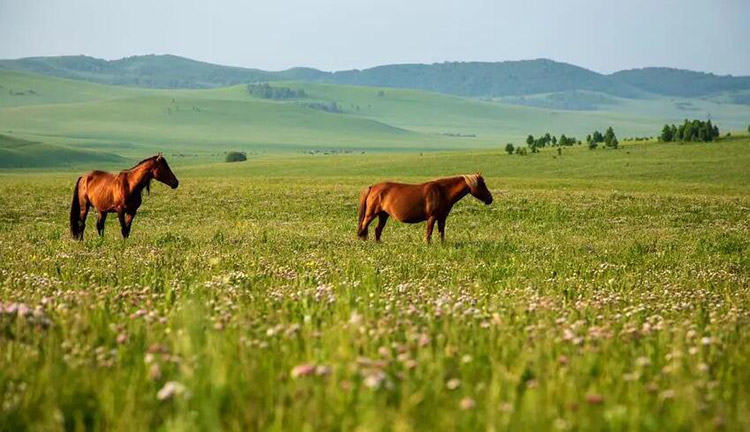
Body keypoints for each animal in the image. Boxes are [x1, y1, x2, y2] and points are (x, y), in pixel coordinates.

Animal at [358, 175, 494, 243]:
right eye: (482, 184)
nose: (490, 199)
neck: (442, 192)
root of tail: (372, 187)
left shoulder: (442, 218)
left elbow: (441, 232)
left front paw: (442, 245)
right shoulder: (432, 217)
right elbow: (429, 233)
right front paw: (428, 245)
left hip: (383, 215)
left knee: (377, 230)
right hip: (371, 214)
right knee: (364, 226)